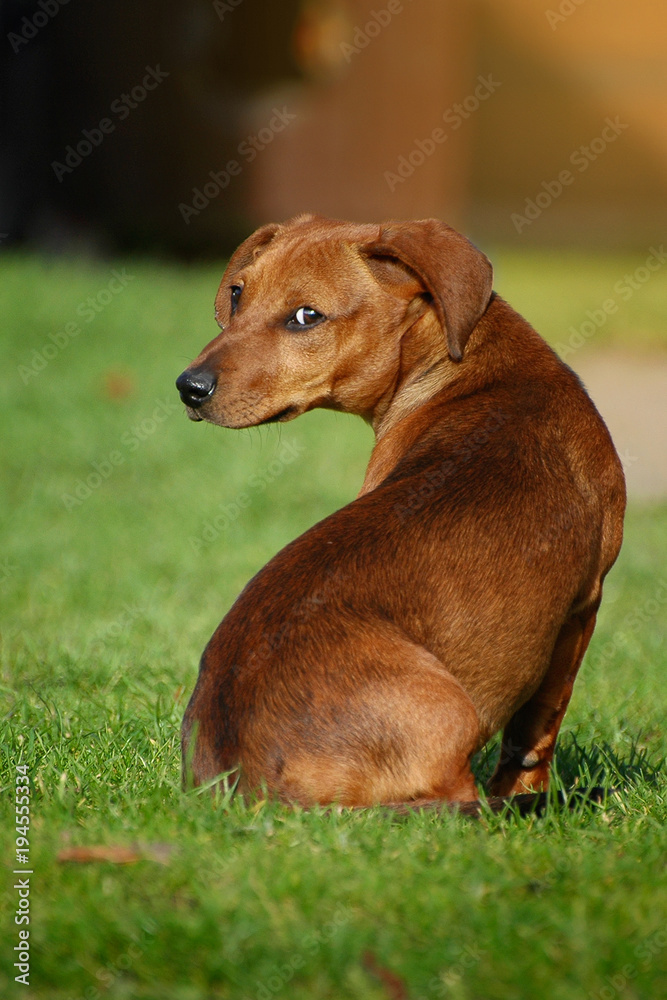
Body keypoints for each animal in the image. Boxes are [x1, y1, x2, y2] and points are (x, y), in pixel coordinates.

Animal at [176, 215, 628, 808]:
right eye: (237, 293)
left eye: (306, 317)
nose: (188, 387)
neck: (471, 368)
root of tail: (241, 782)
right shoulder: (582, 607)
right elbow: (538, 728)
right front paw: (526, 789)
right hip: (451, 712)